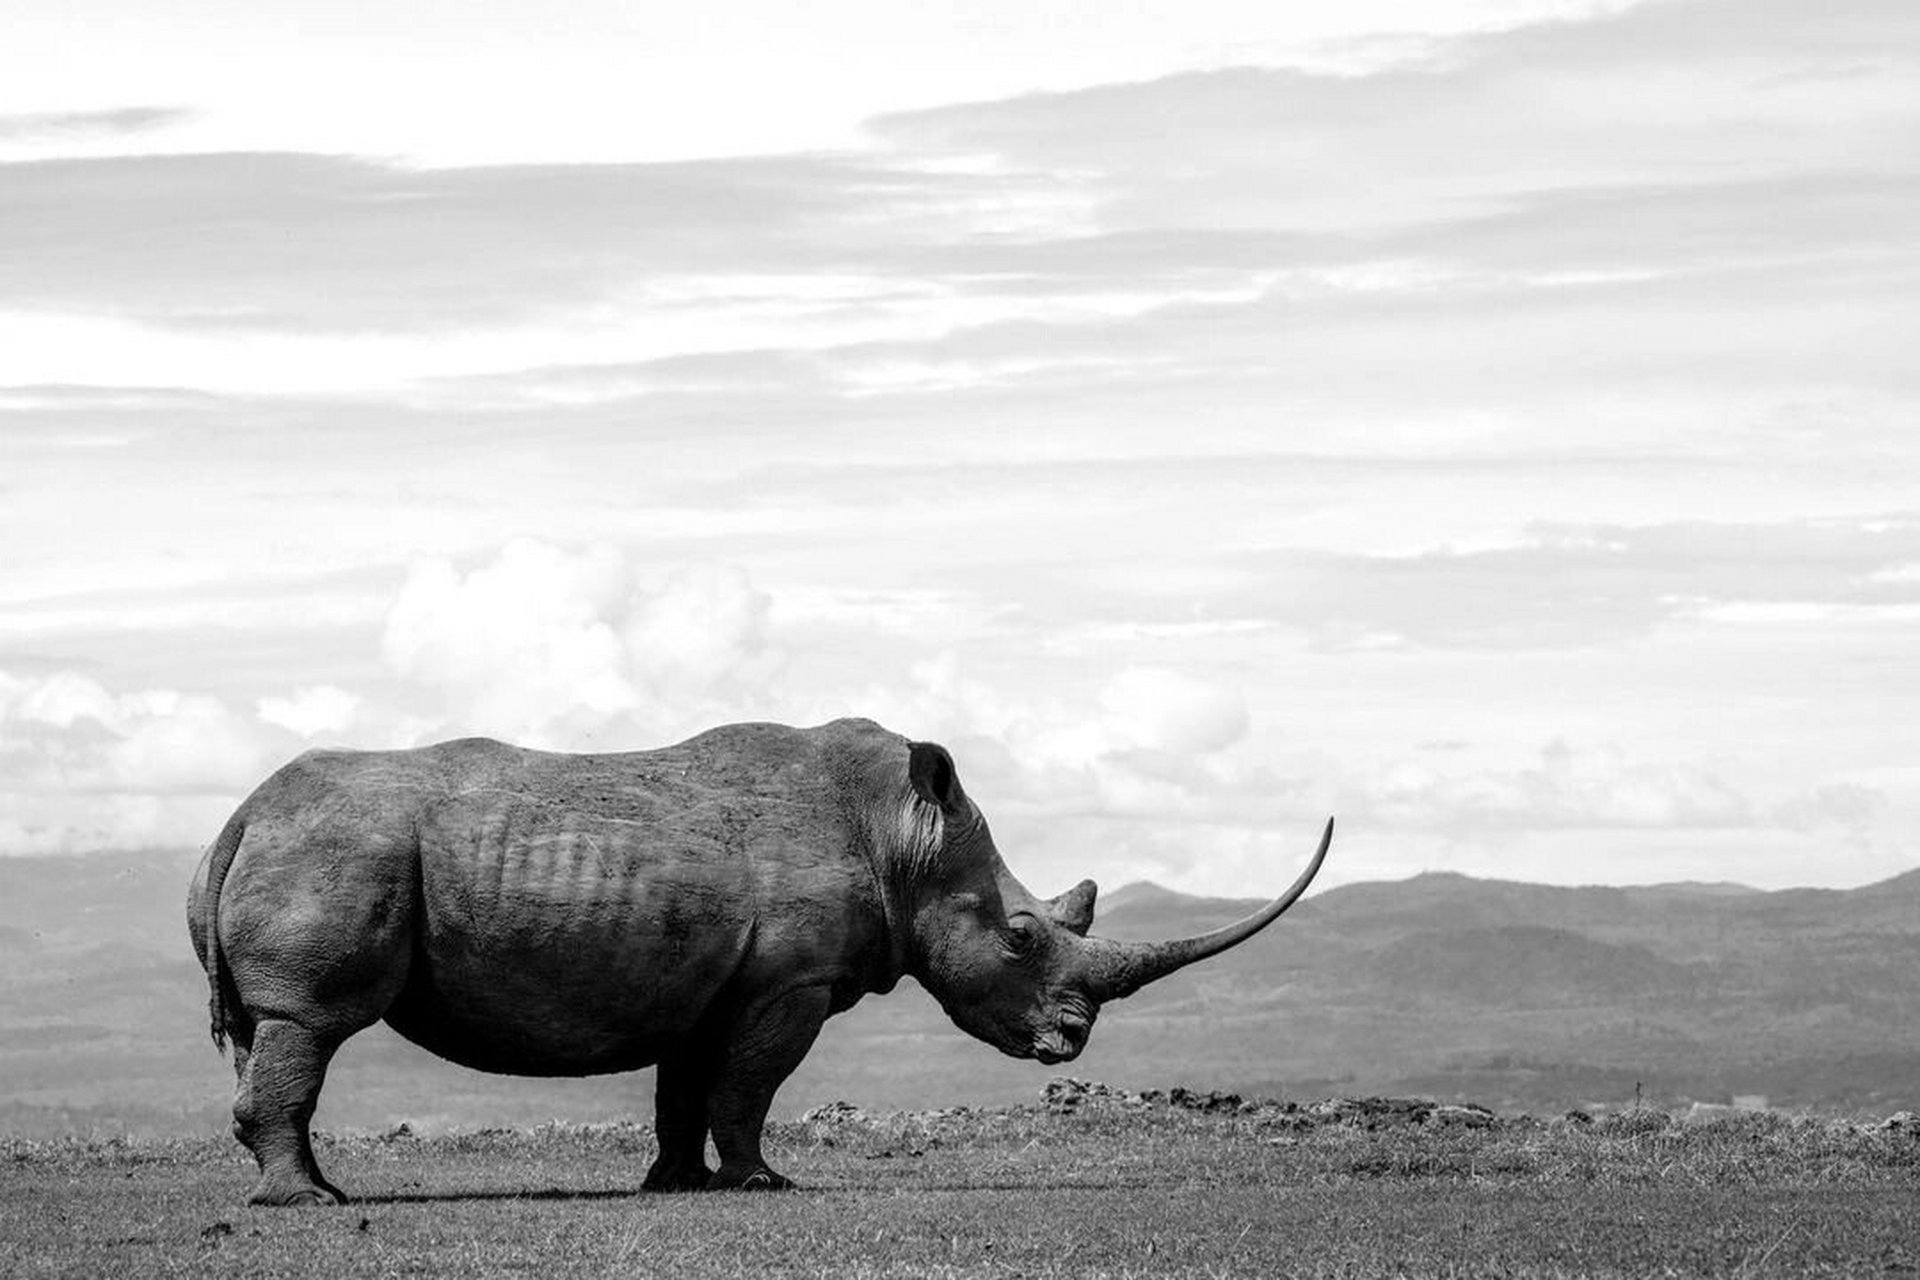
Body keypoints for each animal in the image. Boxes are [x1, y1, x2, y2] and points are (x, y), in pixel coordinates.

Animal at [187, 717, 1331, 1204]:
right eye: (1021, 935)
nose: (1072, 1040)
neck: (902, 835)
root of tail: (237, 813)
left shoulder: (708, 979)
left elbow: (684, 1088)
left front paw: (674, 1186)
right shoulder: (791, 980)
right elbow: (747, 1085)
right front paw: (765, 1181)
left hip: (306, 844)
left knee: (271, 1034)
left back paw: (320, 1190)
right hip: (337, 848)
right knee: (310, 1024)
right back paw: (311, 1206)